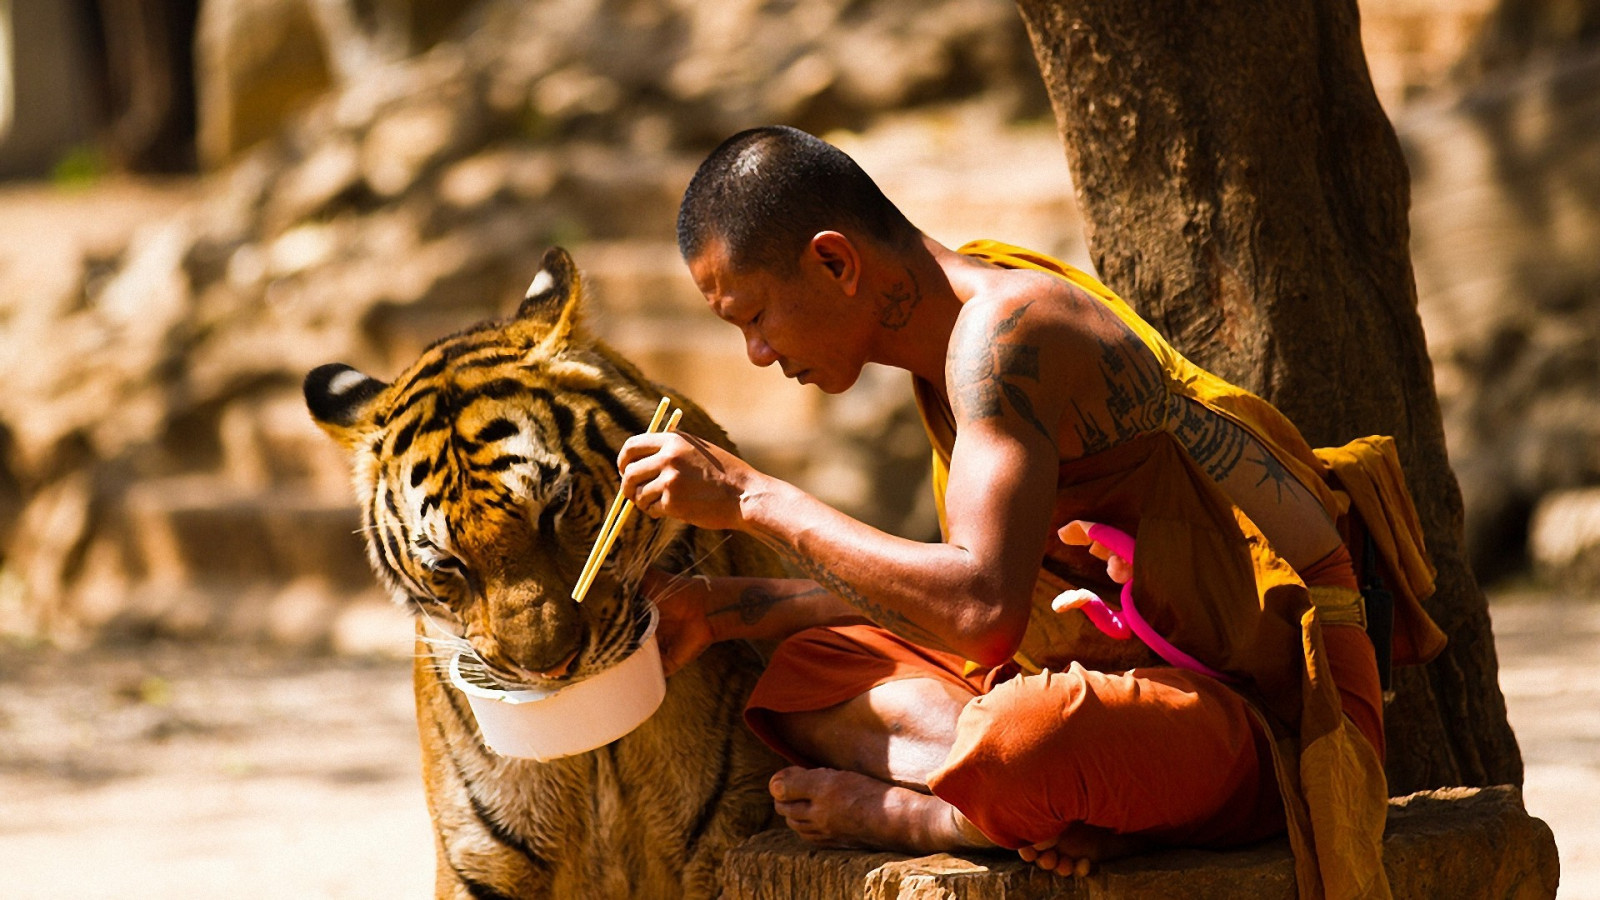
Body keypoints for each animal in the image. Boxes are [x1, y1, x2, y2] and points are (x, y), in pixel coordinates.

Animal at [303, 246, 784, 899]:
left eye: (555, 508)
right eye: (447, 564)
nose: (551, 668)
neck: (597, 751)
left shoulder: (731, 831)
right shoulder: (479, 859)